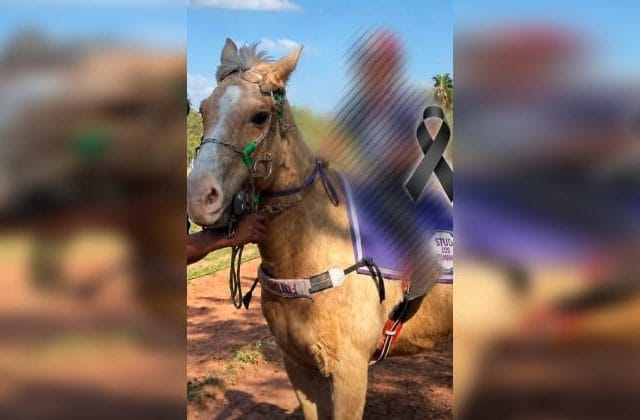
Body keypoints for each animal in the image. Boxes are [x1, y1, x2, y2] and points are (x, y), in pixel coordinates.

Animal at [187, 38, 452, 420]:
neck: (313, 248)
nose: (199, 198)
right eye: (204, 110)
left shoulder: (350, 373)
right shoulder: (299, 368)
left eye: (260, 116)